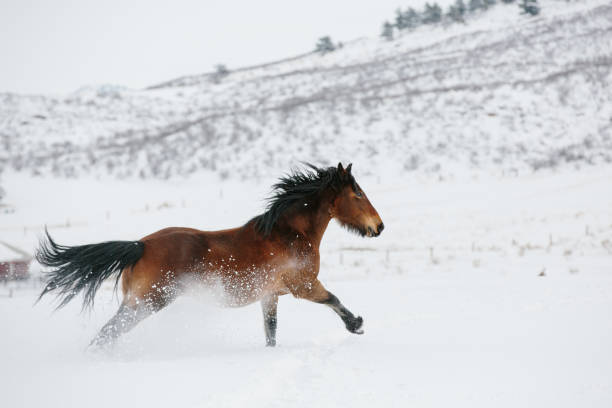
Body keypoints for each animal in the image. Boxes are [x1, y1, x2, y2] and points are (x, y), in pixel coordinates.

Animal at [35, 163, 382, 348]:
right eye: (358, 193)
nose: (379, 226)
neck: (289, 234)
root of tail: (139, 245)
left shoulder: (270, 295)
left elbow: (270, 331)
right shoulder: (303, 285)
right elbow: (333, 299)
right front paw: (357, 325)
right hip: (147, 302)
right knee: (107, 333)